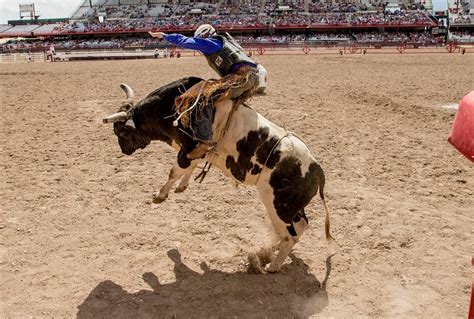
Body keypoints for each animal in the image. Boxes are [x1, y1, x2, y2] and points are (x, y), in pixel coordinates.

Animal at [103, 76, 334, 274]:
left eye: (121, 131)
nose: (123, 150)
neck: (170, 108)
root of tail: (317, 169)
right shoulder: (196, 152)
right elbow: (189, 168)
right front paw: (182, 186)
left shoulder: (188, 150)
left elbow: (174, 171)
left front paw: (160, 195)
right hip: (292, 207)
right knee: (300, 226)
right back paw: (274, 249)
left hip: (277, 204)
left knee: (291, 235)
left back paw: (273, 265)